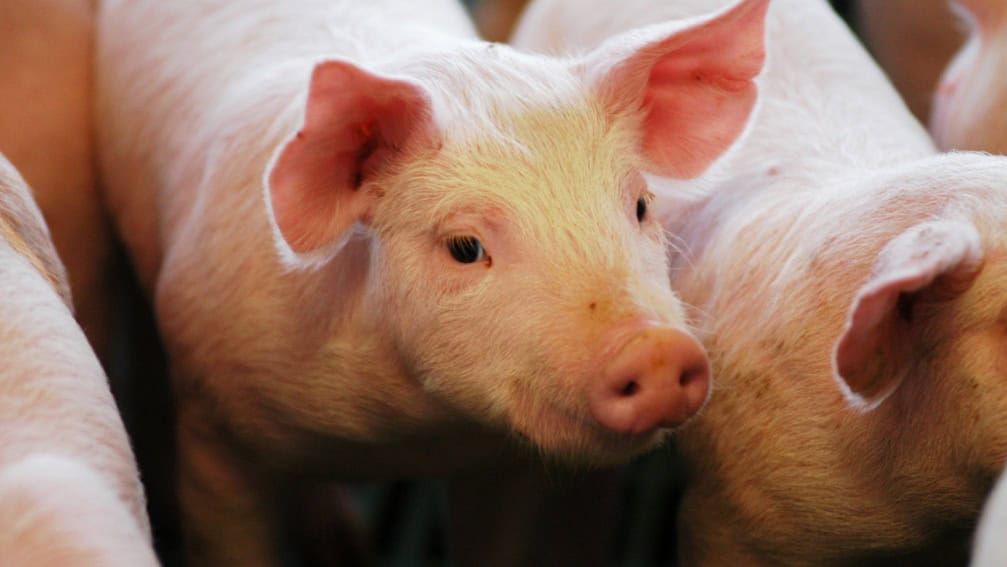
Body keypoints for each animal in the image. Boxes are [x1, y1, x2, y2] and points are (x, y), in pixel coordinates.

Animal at [95, 0, 768, 563]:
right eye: (464, 247)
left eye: (642, 205)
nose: (656, 350)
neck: (399, 436)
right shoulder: (213, 426)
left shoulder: (507, 469)